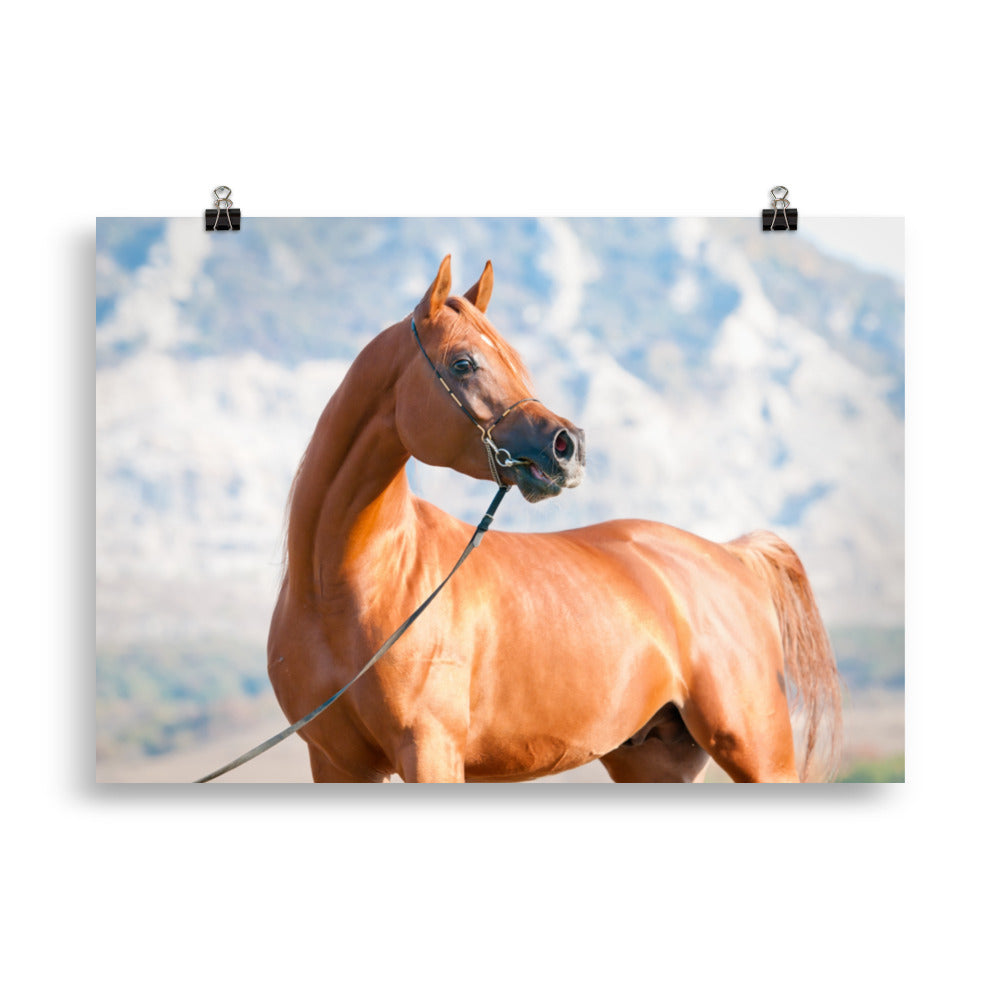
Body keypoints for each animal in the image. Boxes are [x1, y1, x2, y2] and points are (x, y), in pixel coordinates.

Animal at [267, 256, 842, 782]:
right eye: (463, 363)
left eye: (514, 360)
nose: (569, 446)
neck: (344, 588)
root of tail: (731, 555)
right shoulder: (338, 764)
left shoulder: (430, 751)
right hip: (654, 761)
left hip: (759, 756)